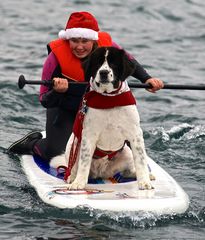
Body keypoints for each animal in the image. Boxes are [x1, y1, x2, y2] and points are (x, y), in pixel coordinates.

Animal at [50, 46, 154, 189]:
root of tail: (101, 173)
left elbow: (141, 160)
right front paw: (78, 183)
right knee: (73, 167)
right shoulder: (88, 135)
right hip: (73, 145)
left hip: (126, 153)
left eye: (113, 63)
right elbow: (84, 162)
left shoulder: (135, 133)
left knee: (128, 171)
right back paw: (71, 178)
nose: (104, 72)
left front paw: (144, 182)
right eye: (98, 63)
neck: (108, 98)